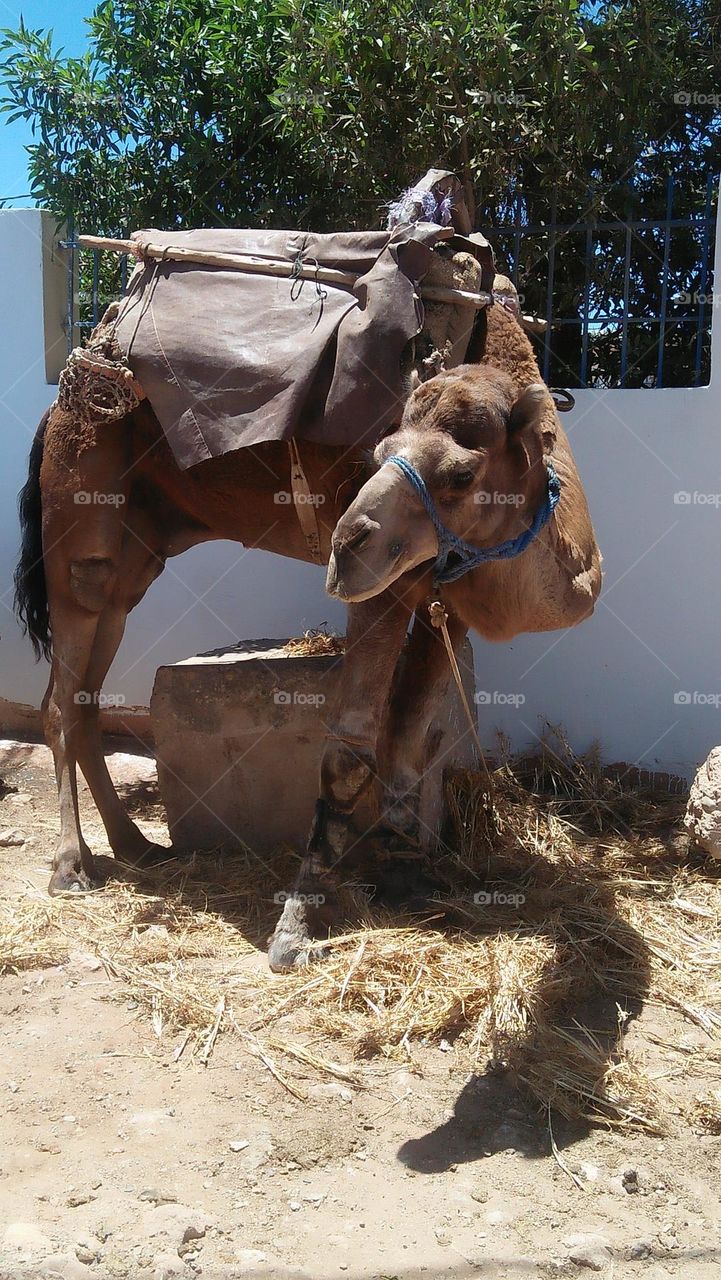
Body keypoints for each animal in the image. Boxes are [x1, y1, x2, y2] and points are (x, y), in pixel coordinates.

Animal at [14, 302, 601, 967]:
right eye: (376, 452)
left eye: (461, 474)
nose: (346, 546)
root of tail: (56, 409)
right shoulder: (393, 585)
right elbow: (349, 748)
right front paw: (297, 925)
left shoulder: (440, 597)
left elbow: (407, 741)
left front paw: (404, 875)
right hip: (82, 535)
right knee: (60, 697)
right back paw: (70, 867)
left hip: (135, 560)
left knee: (86, 695)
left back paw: (136, 845)